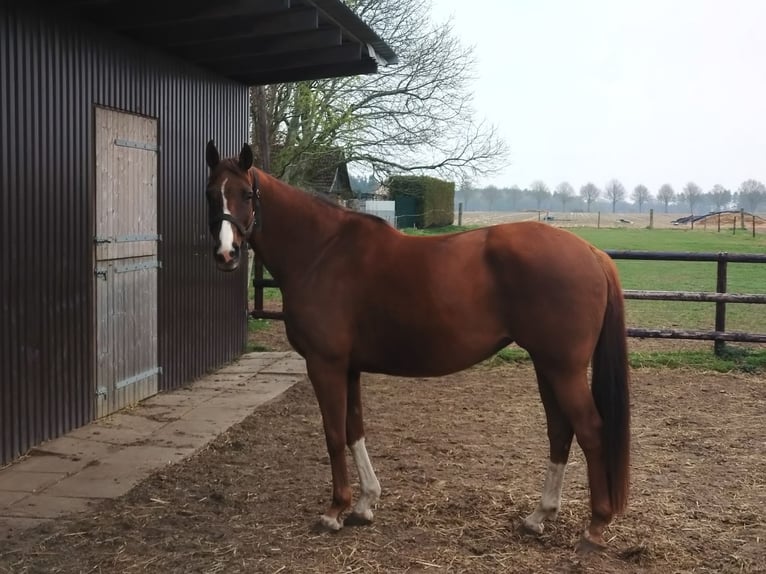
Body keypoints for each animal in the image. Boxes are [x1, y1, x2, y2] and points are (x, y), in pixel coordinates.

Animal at [204, 141, 630, 551]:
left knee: (590, 430)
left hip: (563, 369)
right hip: (547, 365)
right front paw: (364, 504)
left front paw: (335, 510)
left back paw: (594, 527)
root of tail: (592, 253)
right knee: (560, 431)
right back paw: (539, 516)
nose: (226, 254)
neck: (322, 251)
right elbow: (354, 429)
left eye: (246, 194)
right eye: (211, 194)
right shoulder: (349, 367)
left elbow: (333, 434)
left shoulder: (325, 364)